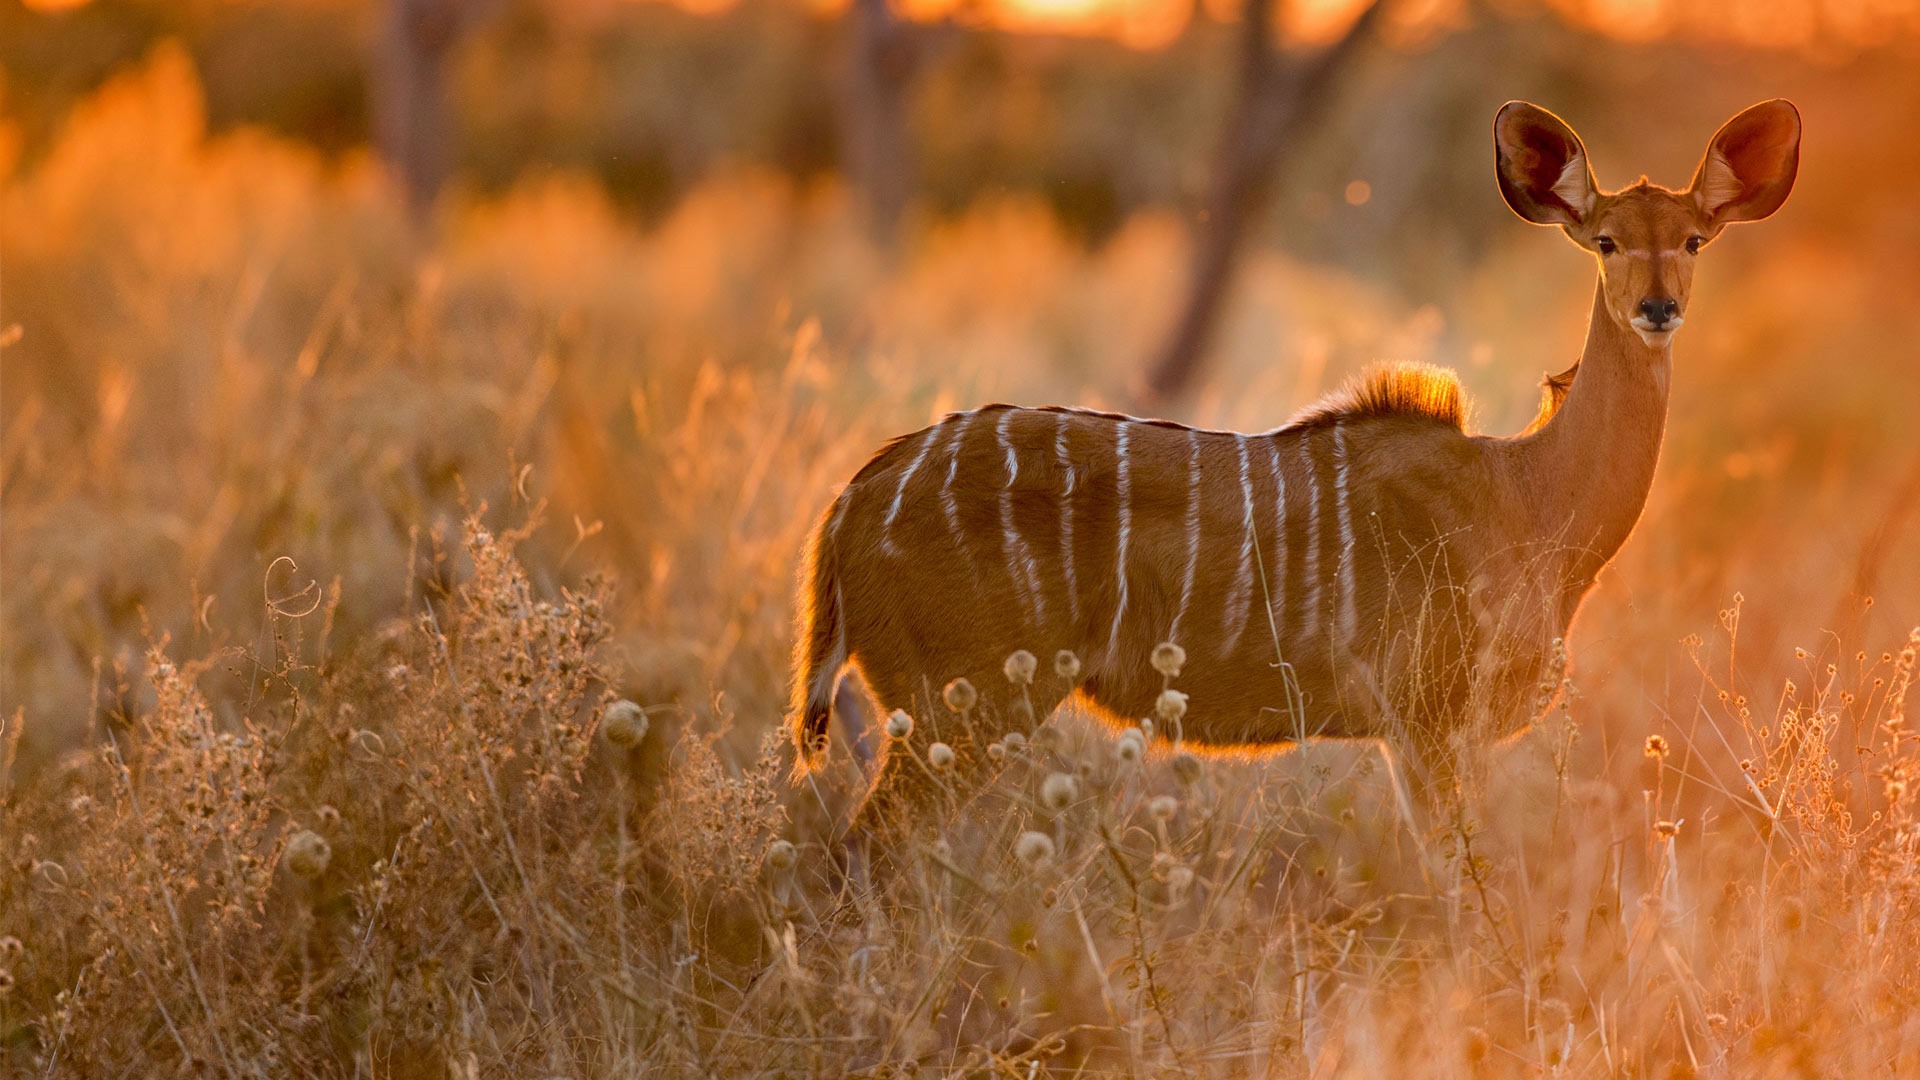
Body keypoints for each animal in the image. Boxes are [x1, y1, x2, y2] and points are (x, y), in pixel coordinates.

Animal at [791, 98, 1797, 822]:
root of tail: (851, 502)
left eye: (1694, 239)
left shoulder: (1420, 740)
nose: (1659, 308)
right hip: (959, 714)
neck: (1528, 495)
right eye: (1606, 241)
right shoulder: (1428, 730)